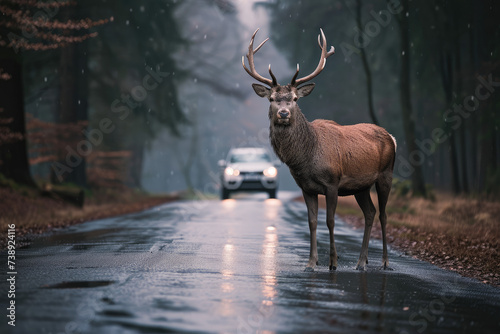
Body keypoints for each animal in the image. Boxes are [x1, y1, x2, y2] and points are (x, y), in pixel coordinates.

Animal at [240, 28, 396, 272]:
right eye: (272, 99)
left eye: (295, 98)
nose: (283, 113)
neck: (306, 159)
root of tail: (392, 137)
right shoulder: (306, 188)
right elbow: (312, 222)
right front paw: (311, 263)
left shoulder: (332, 182)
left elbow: (329, 221)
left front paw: (332, 262)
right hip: (361, 186)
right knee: (370, 213)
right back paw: (361, 262)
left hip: (386, 174)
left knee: (384, 215)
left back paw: (384, 262)